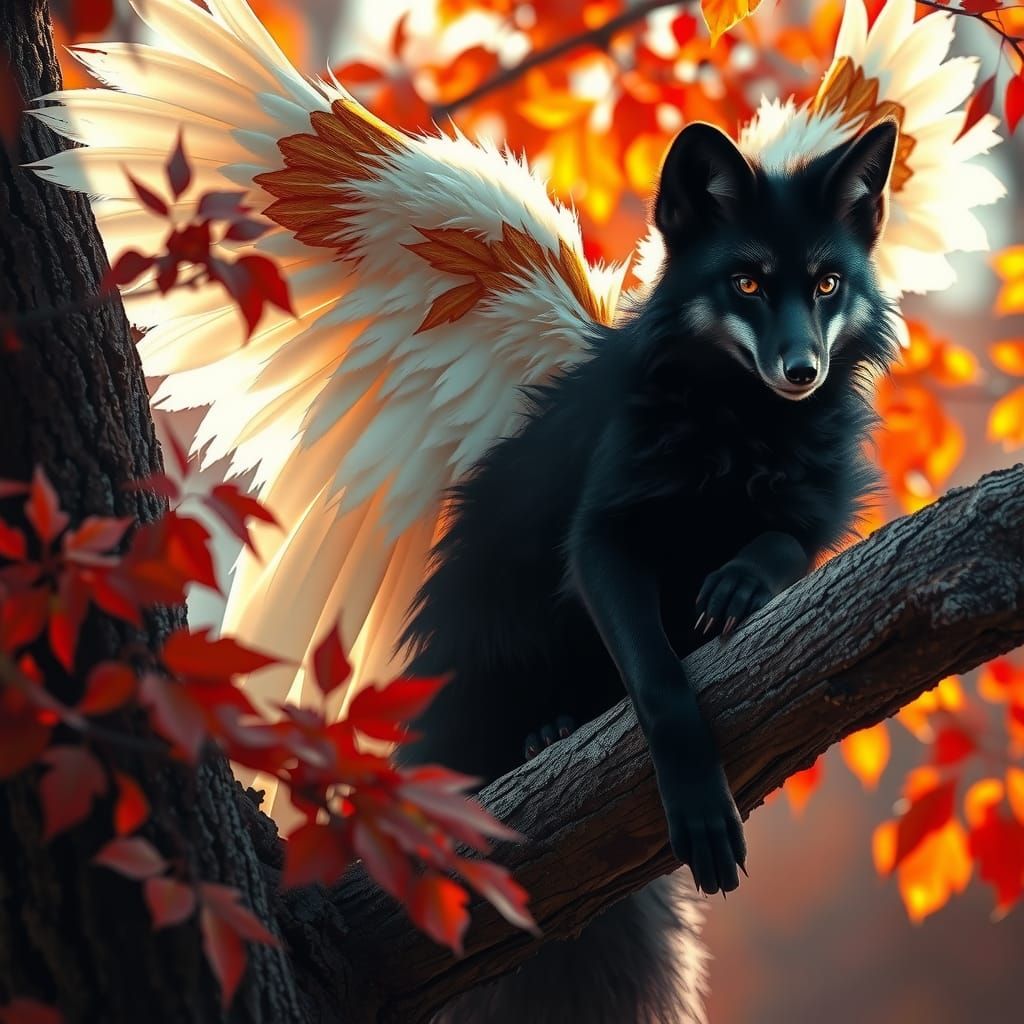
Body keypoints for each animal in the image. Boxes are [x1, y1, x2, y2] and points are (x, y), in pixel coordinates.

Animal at [397, 118, 901, 1022]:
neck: (744, 426)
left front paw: (736, 584)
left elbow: (776, 547)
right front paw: (700, 810)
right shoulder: (602, 541)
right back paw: (548, 733)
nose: (801, 371)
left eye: (827, 283)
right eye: (746, 282)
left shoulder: (812, 517)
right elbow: (663, 690)